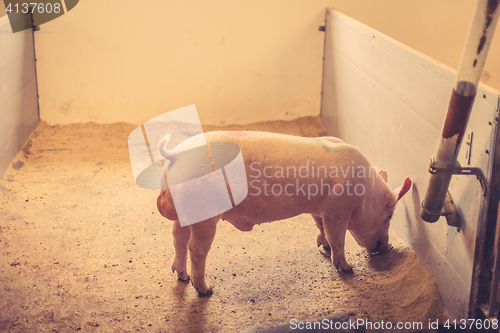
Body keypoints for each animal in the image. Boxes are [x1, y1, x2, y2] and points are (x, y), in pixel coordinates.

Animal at [158, 131, 412, 294]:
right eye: (389, 216)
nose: (388, 247)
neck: (365, 192)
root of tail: (176, 154)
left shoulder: (319, 209)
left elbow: (320, 227)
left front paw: (322, 246)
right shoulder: (337, 209)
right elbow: (337, 238)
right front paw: (348, 269)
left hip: (184, 213)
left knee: (178, 238)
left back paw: (182, 276)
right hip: (206, 212)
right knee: (196, 248)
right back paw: (206, 290)